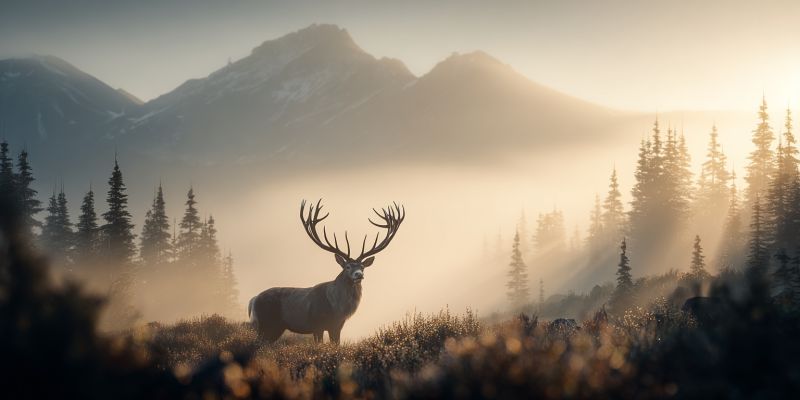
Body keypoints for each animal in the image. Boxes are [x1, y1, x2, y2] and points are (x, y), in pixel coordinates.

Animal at [248, 199, 405, 344]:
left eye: (362, 267)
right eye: (347, 266)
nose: (359, 275)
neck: (336, 309)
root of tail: (253, 300)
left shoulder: (337, 326)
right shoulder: (316, 325)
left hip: (276, 328)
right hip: (265, 324)